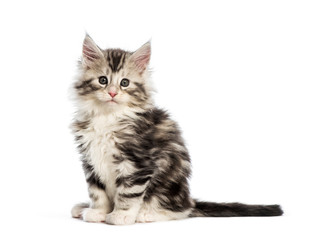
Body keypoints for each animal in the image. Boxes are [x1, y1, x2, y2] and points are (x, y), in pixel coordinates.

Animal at [71, 34, 284, 225]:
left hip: (169, 187)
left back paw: (147, 214)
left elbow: (129, 193)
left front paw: (121, 215)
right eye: (103, 80)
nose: (113, 93)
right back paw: (82, 208)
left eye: (125, 82)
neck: (108, 116)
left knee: (182, 210)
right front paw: (98, 212)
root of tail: (187, 197)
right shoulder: (90, 160)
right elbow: (97, 192)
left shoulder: (138, 161)